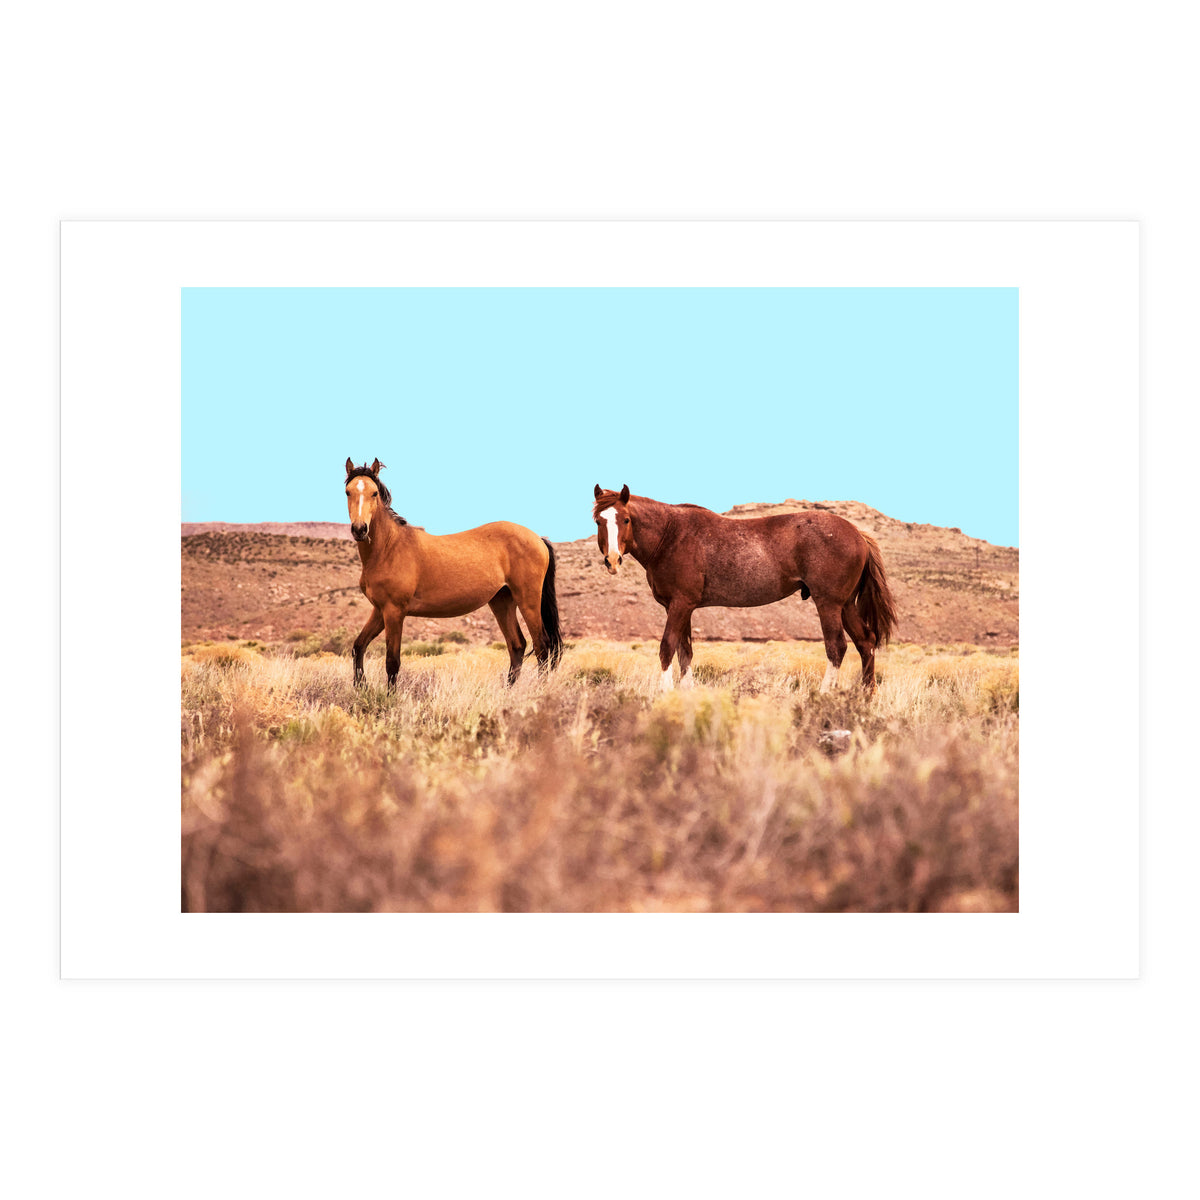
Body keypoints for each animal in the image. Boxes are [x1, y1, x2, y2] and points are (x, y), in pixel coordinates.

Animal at [344, 458, 563, 688]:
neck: (389, 548)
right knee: (517, 645)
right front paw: (361, 686)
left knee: (542, 647)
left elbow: (392, 662)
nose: (360, 529)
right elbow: (358, 646)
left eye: (374, 493)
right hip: (502, 601)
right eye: (348, 492)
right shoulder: (380, 610)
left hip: (528, 601)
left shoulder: (394, 611)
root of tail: (538, 538)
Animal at [592, 484, 897, 694]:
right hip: (845, 605)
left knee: (837, 647)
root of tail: (858, 534)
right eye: (598, 521)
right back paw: (865, 697)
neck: (670, 535)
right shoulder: (682, 608)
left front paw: (665, 693)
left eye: (626, 519)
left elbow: (667, 647)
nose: (612, 560)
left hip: (829, 604)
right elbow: (685, 652)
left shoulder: (680, 605)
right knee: (866, 643)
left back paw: (824, 695)